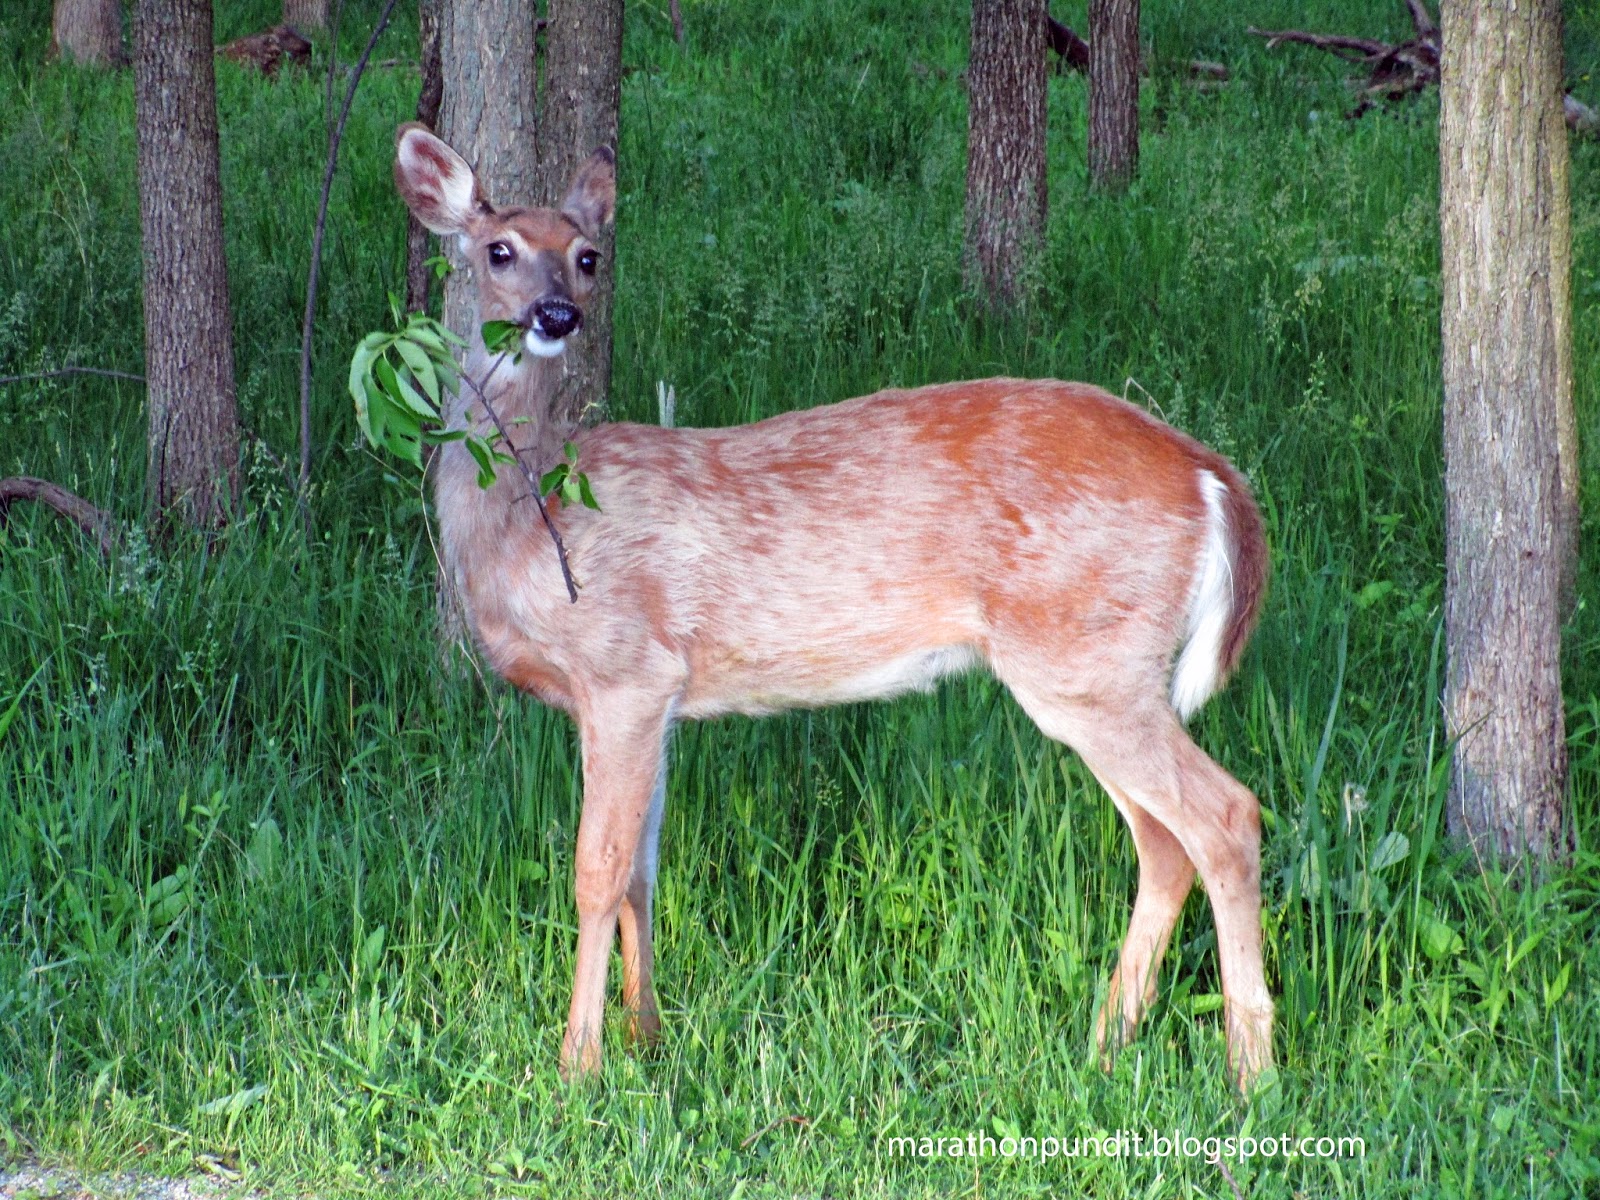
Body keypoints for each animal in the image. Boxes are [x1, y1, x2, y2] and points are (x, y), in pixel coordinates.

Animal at [393, 122, 1276, 1091]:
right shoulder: (660, 699)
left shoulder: (625, 670)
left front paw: (577, 1065)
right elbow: (644, 873)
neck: (533, 512)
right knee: (1165, 844)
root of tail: (1212, 478)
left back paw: (1250, 1071)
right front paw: (646, 1037)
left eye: (587, 256)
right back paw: (1106, 1044)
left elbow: (599, 868)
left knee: (1226, 818)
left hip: (1085, 660)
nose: (557, 316)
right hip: (1102, 670)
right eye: (499, 250)